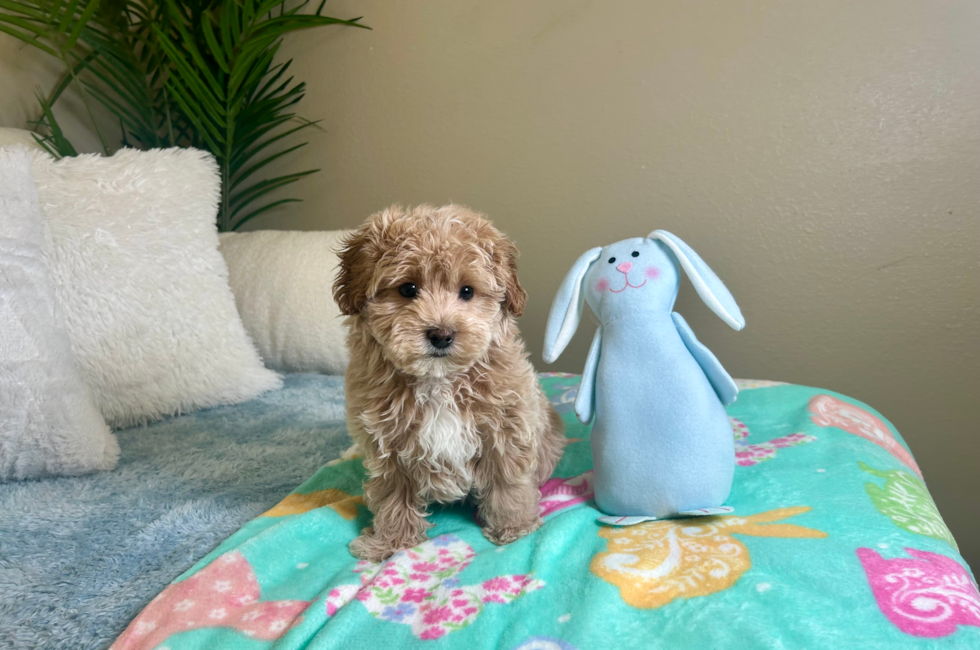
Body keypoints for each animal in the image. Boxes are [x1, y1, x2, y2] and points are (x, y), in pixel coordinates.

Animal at [334, 205, 568, 560]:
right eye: (407, 289)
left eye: (467, 291)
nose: (441, 335)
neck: (439, 380)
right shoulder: (386, 444)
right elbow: (393, 494)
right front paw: (391, 542)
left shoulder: (506, 428)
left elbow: (508, 482)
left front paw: (513, 528)